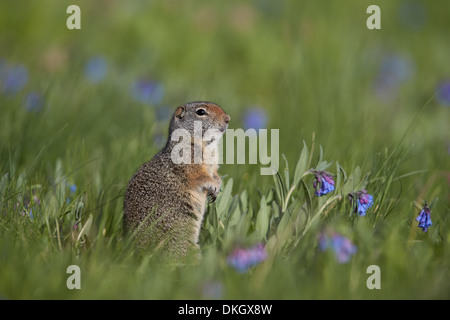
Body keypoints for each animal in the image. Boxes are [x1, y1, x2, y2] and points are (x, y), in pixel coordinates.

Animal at [123, 101, 230, 258]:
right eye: (201, 112)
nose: (228, 119)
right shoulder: (187, 159)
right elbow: (199, 175)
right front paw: (213, 185)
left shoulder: (213, 164)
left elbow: (215, 173)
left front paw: (218, 184)